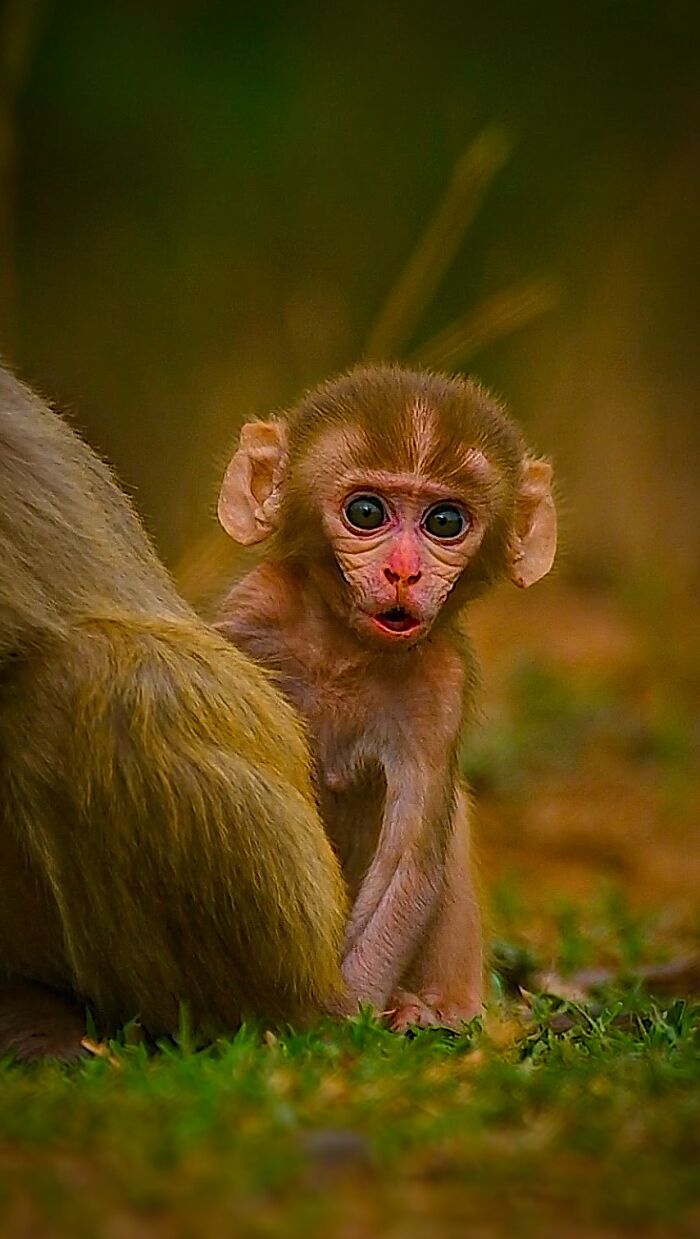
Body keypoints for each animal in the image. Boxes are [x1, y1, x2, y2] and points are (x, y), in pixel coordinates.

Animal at [214, 365, 557, 1031]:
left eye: (445, 523)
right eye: (366, 512)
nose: (403, 572)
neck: (344, 649)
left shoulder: (441, 684)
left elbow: (411, 868)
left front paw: (335, 1023)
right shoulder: (253, 615)